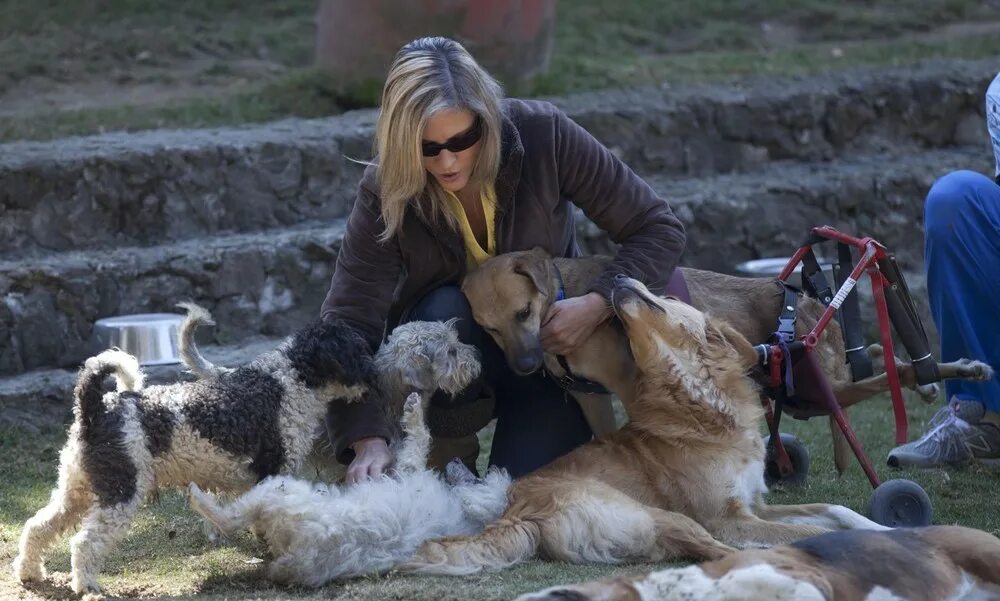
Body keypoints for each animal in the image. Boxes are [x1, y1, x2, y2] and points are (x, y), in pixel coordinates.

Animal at [13, 312, 376, 592]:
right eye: (357, 351)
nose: (374, 377)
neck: (290, 380)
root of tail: (96, 408)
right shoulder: (274, 471)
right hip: (120, 495)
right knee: (83, 544)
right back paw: (87, 586)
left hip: (77, 490)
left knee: (37, 527)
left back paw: (29, 573)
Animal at [187, 394, 508, 584]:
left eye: (481, 480)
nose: (457, 462)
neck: (467, 515)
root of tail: (299, 555)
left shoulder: (409, 471)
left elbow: (418, 444)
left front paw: (414, 414)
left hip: (280, 491)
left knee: (231, 518)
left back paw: (201, 499)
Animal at [402, 276, 888, 576]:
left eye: (668, 299)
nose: (617, 278)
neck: (700, 402)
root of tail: (515, 512)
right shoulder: (726, 519)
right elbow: (814, 531)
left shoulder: (755, 505)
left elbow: (836, 511)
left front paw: (883, 528)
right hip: (663, 516)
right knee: (717, 552)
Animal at [462, 246, 992, 472]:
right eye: (490, 329)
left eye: (523, 312)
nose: (524, 367)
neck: (562, 297)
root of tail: (811, 302)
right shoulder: (592, 398)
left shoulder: (631, 384)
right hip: (809, 389)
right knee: (874, 361)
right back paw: (927, 376)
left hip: (814, 389)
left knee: (889, 374)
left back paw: (952, 370)